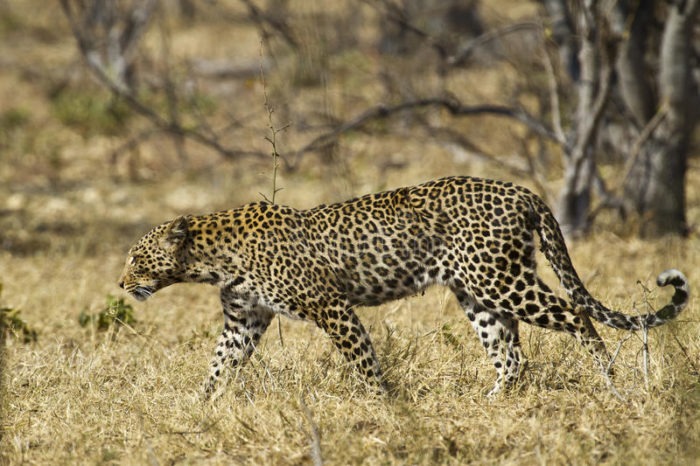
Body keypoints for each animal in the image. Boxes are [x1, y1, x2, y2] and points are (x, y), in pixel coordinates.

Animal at [116, 176, 688, 396]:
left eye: (138, 258)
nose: (121, 283)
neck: (211, 260)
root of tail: (522, 190)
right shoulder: (244, 319)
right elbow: (219, 365)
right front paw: (200, 403)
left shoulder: (332, 307)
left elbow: (363, 362)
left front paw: (384, 406)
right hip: (478, 294)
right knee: (511, 353)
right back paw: (491, 401)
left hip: (502, 281)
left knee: (577, 315)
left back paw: (610, 381)